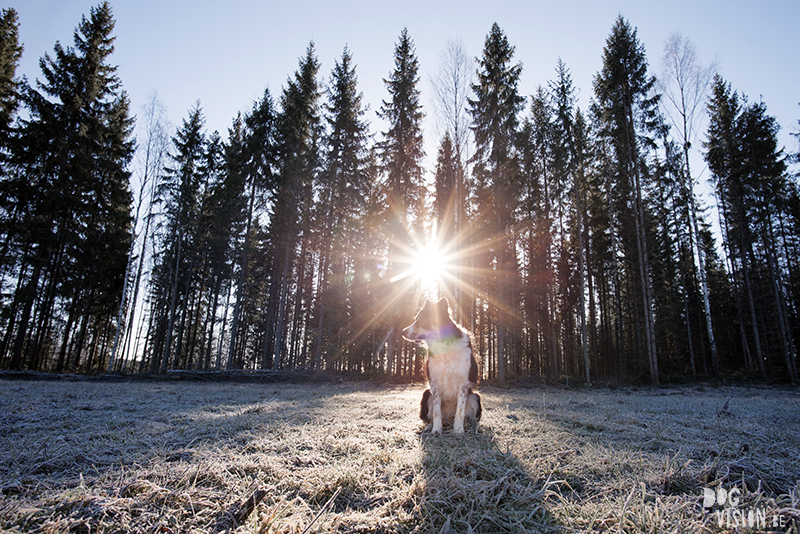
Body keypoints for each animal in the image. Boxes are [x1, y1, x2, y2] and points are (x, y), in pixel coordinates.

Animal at [400, 300, 482, 434]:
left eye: (423, 319)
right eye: (416, 318)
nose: (402, 332)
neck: (443, 344)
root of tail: (448, 417)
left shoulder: (463, 384)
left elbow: (460, 411)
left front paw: (458, 431)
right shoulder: (434, 384)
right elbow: (436, 412)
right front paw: (436, 430)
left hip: (475, 397)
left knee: (469, 417)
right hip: (426, 394)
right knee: (432, 416)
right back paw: (430, 427)